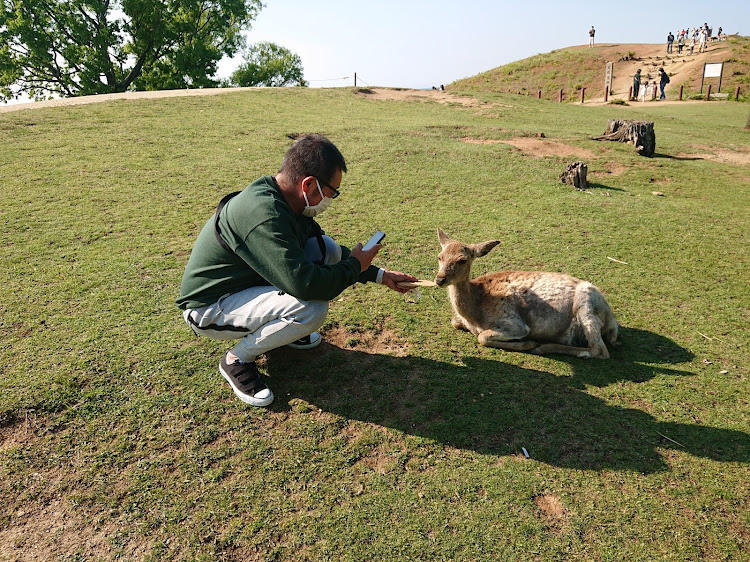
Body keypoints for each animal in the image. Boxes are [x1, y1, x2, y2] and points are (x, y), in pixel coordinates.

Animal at [438, 228, 620, 358]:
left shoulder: (515, 324)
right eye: (440, 257)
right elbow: (454, 322)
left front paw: (529, 343)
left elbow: (482, 337)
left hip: (587, 305)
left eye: (463, 260)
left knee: (599, 351)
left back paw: (542, 347)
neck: (475, 314)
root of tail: (612, 321)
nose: (439, 279)